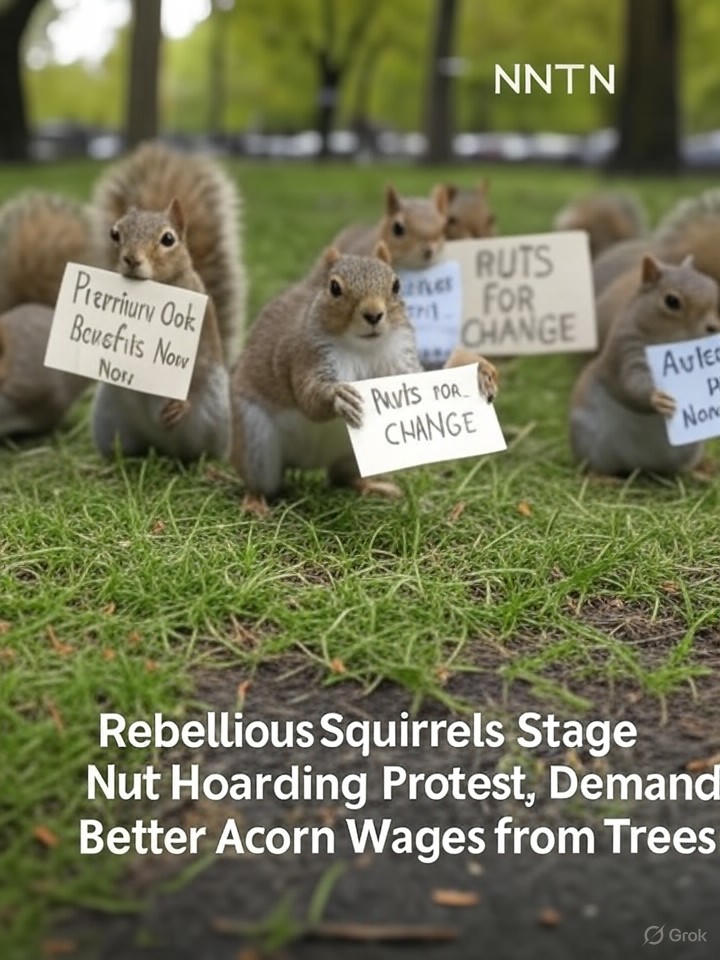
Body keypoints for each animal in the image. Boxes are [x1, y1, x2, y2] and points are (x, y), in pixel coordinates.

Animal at [90, 142, 245, 461]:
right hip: (109, 419)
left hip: (213, 415)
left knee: (202, 451)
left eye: (168, 239)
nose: (131, 259)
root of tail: (161, 446)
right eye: (115, 233)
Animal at [230, 242, 498, 513]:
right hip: (255, 444)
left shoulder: (401, 361)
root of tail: (308, 463)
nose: (373, 314)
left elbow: (424, 375)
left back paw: (374, 487)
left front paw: (478, 367)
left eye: (397, 285)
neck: (365, 348)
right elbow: (309, 398)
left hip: (353, 458)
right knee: (261, 482)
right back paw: (255, 502)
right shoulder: (307, 354)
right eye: (334, 287)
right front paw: (338, 396)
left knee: (341, 477)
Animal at [570, 254, 720, 476]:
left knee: (681, 468)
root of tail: (641, 465)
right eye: (671, 301)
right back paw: (602, 478)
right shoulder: (626, 350)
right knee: (594, 466)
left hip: (690, 448)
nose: (714, 327)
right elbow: (630, 384)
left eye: (714, 288)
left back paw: (701, 470)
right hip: (587, 439)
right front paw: (657, 398)